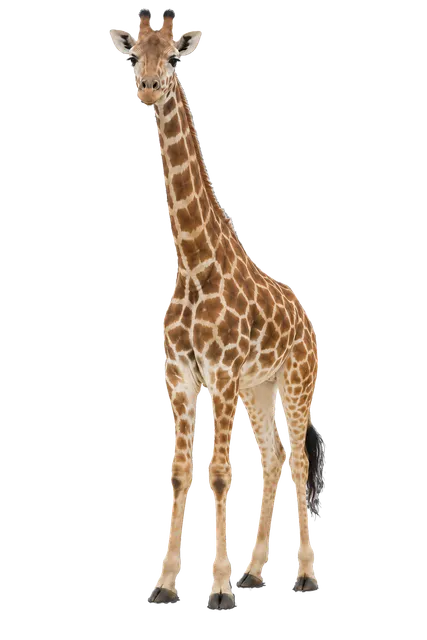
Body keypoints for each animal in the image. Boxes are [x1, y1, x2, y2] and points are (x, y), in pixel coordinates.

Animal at [109, 9, 324, 611]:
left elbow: (223, 473)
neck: (192, 260)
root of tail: (309, 324)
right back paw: (255, 575)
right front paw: (166, 586)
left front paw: (220, 590)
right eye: (134, 53)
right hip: (261, 388)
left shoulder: (222, 372)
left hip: (295, 384)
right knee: (273, 457)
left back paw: (303, 577)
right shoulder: (181, 375)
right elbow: (183, 472)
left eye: (172, 55)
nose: (147, 87)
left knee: (298, 460)